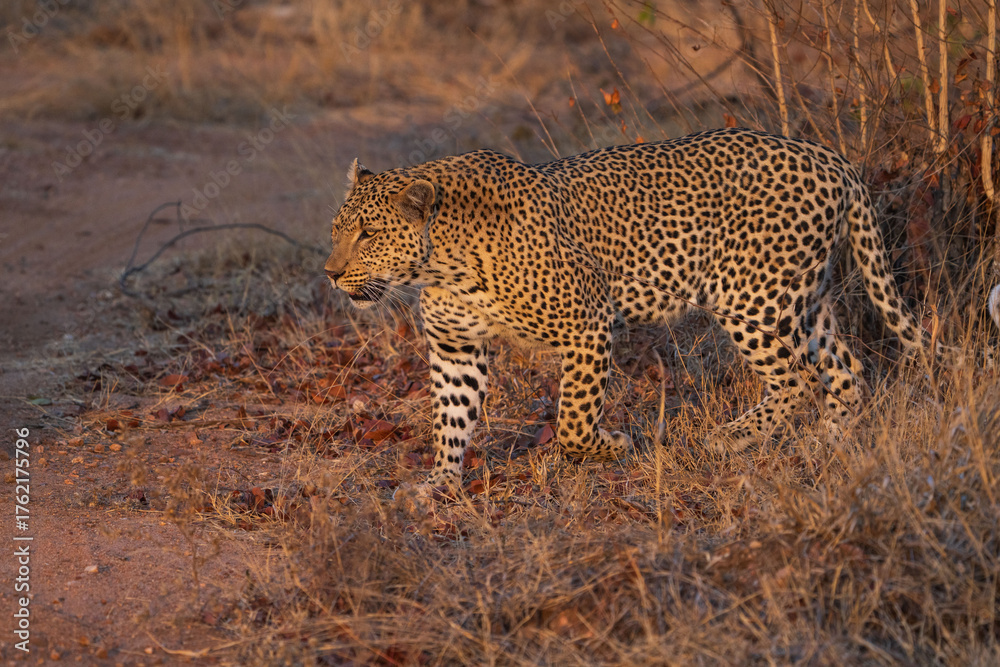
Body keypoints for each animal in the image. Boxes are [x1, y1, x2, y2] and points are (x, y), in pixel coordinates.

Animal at [324, 128, 927, 491]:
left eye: (369, 234)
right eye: (336, 229)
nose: (331, 273)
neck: (441, 262)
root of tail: (832, 158)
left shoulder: (587, 321)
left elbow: (573, 419)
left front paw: (609, 447)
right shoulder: (456, 347)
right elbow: (451, 418)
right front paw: (440, 485)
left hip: (749, 297)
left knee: (798, 378)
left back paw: (731, 437)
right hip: (805, 299)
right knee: (847, 371)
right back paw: (825, 446)